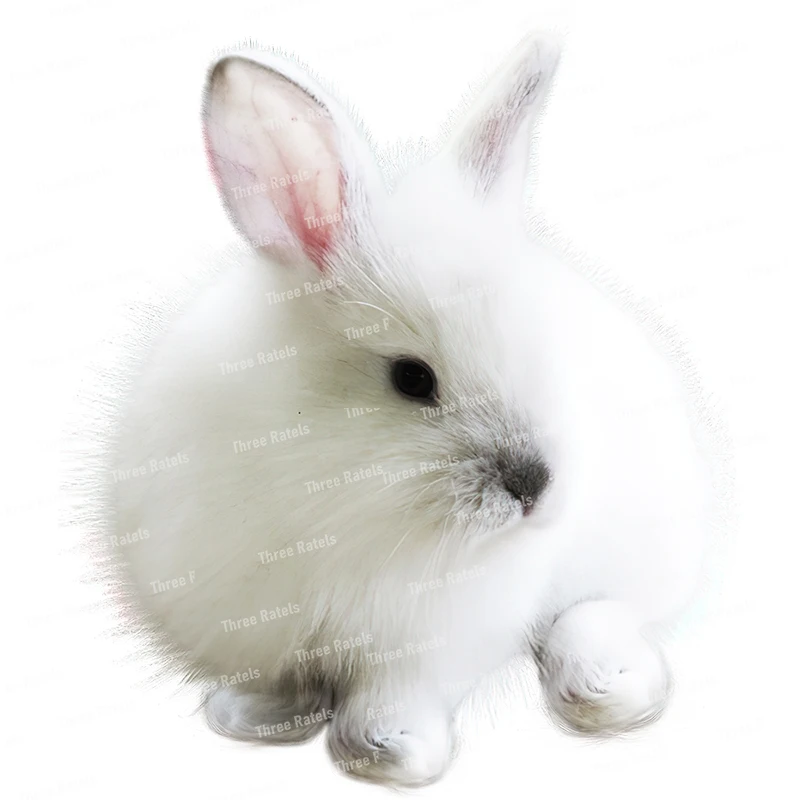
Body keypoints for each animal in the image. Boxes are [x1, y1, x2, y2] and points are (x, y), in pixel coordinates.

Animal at [107, 33, 715, 787]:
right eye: (412, 379)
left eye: (542, 348)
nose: (535, 488)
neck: (341, 500)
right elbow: (278, 678)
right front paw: (254, 719)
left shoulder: (431, 642)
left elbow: (399, 690)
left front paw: (388, 751)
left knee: (600, 611)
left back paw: (607, 687)